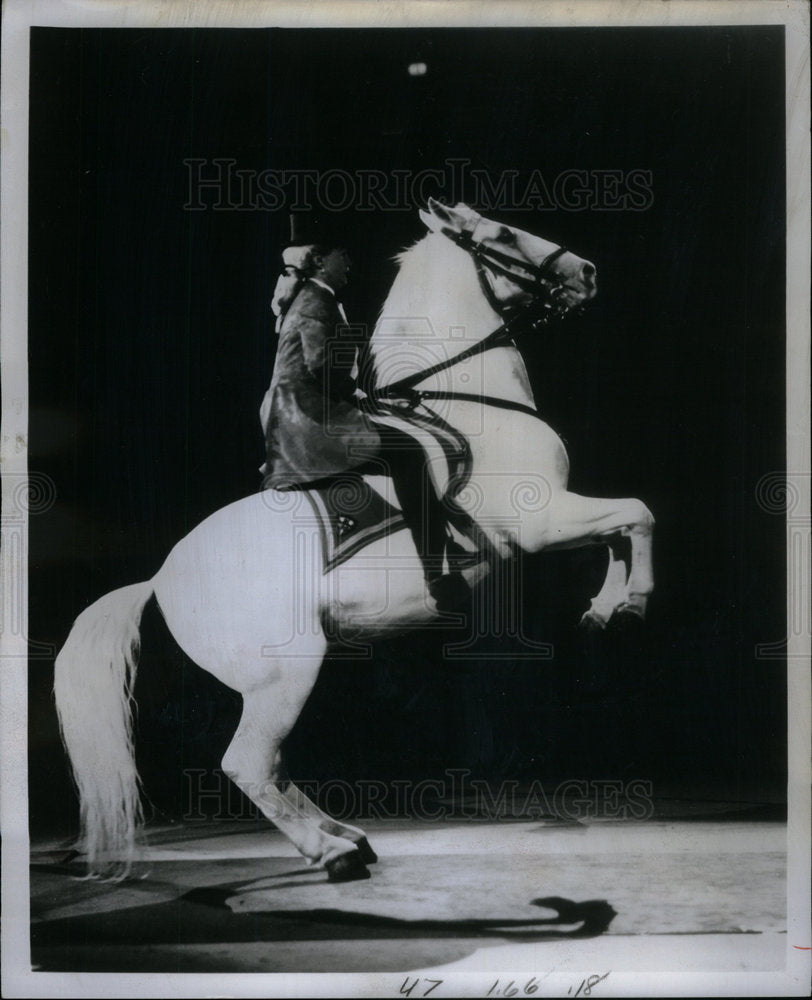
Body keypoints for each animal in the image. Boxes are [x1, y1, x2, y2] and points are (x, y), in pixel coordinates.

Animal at [54, 201, 652, 884]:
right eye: (501, 234)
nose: (587, 271)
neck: (470, 401)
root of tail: (159, 578)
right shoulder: (542, 521)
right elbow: (637, 515)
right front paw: (634, 602)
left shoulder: (556, 519)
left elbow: (616, 534)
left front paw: (605, 610)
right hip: (282, 674)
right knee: (249, 763)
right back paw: (331, 852)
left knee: (273, 764)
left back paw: (345, 836)